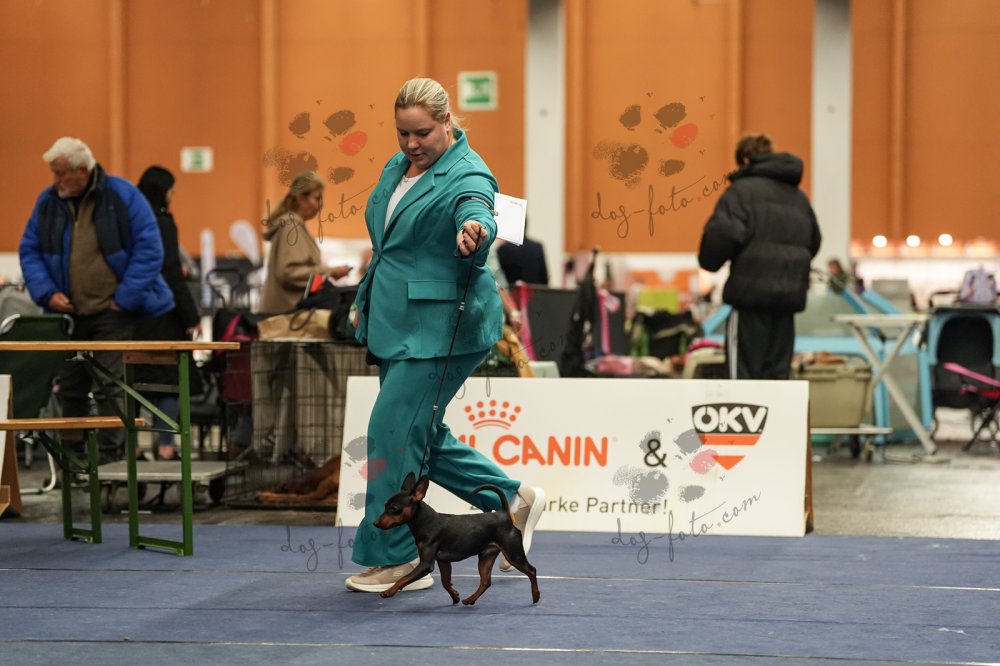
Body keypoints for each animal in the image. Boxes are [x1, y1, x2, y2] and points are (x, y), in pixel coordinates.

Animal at [374, 472, 540, 605]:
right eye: (385, 506)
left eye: (394, 508)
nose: (375, 523)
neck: (425, 521)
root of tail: (505, 514)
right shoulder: (443, 561)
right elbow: (445, 582)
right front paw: (455, 596)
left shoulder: (426, 564)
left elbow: (403, 578)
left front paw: (389, 591)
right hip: (486, 556)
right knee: (485, 582)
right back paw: (470, 599)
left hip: (513, 554)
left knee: (531, 570)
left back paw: (536, 596)